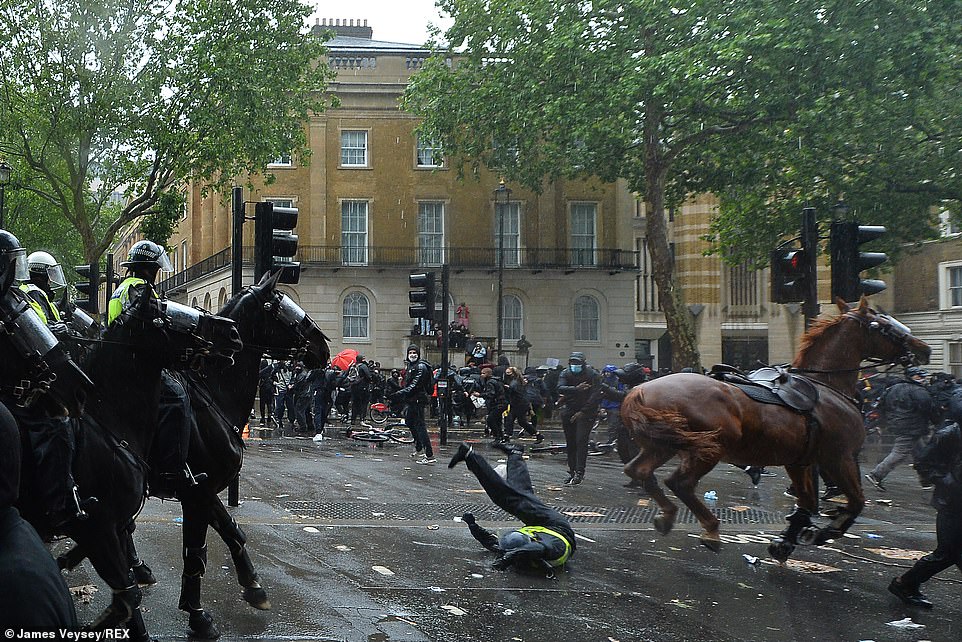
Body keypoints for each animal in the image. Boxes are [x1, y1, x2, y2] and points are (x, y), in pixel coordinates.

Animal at [620, 298, 931, 561]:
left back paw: (668, 515)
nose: (923, 349)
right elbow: (856, 501)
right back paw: (710, 529)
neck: (826, 386)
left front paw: (785, 541)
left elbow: (806, 501)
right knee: (680, 483)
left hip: (663, 445)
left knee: (639, 471)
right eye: (885, 325)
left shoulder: (799, 462)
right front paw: (825, 532)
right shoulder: (839, 457)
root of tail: (639, 391)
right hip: (708, 448)